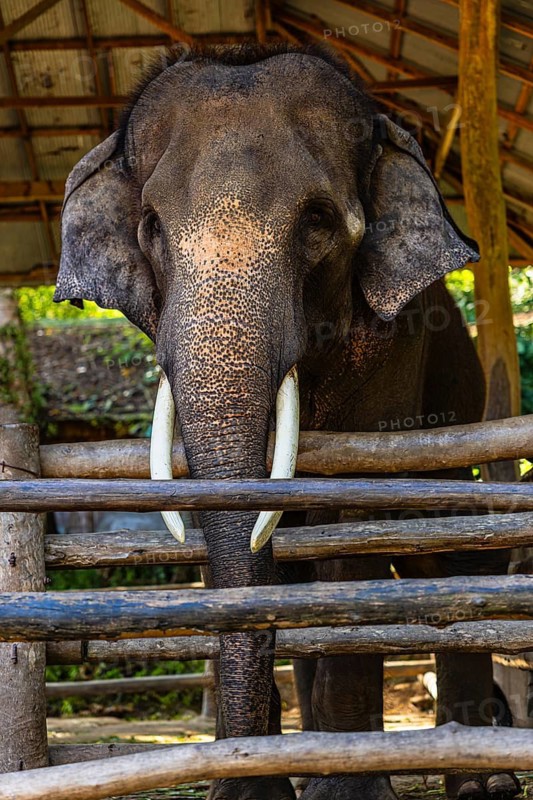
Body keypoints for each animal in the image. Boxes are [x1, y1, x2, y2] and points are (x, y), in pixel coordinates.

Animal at [54, 44, 520, 800]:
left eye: (319, 220)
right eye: (151, 226)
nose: (240, 782)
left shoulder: (396, 344)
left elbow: (349, 524)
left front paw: (344, 790)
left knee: (451, 551)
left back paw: (484, 778)